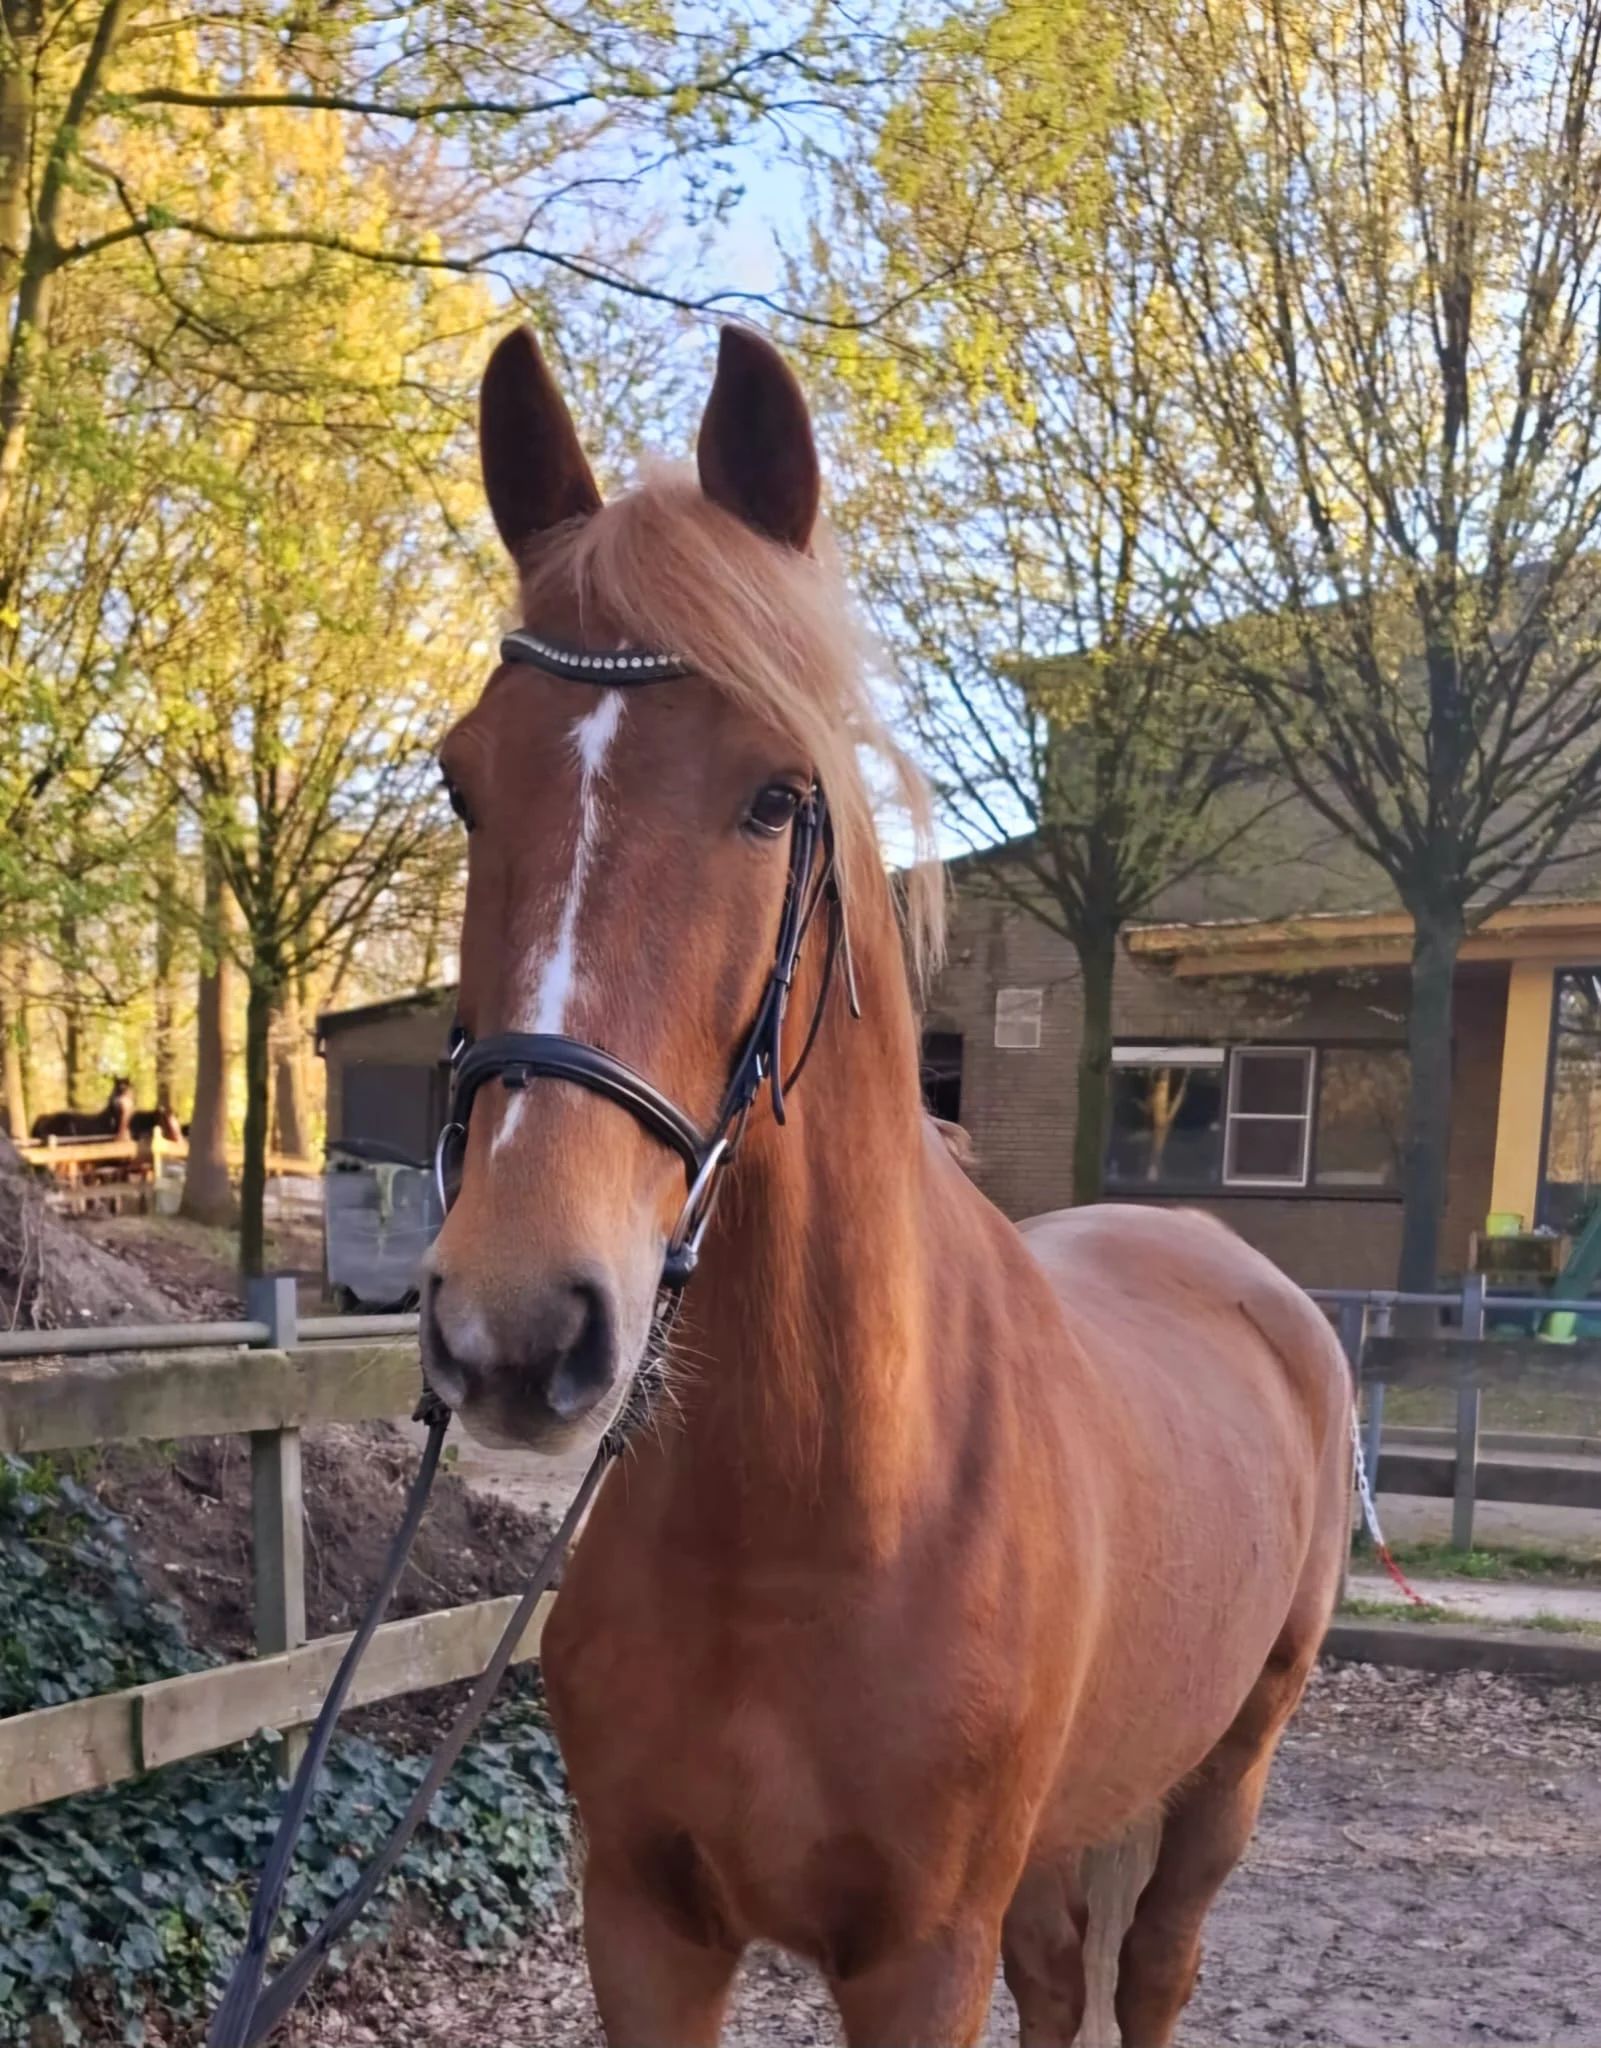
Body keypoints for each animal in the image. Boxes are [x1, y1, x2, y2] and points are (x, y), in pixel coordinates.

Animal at [423, 325, 1352, 2048]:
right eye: (462, 785)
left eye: (777, 794)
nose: (513, 1323)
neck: (812, 1511)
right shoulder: (643, 1928)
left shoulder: (922, 1956)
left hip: (1220, 1787)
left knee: (1152, 1972)